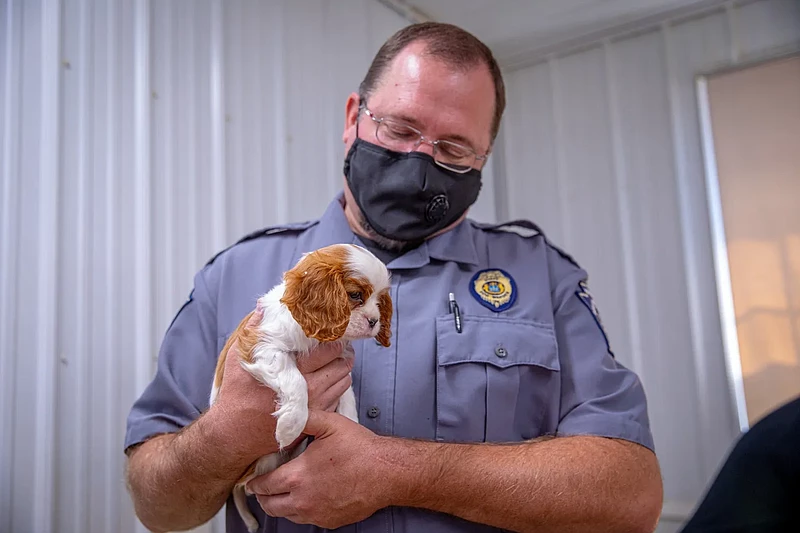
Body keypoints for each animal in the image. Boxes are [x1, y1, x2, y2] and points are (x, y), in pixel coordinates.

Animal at [208, 243, 392, 528]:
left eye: (379, 301)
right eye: (355, 295)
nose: (374, 321)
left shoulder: (340, 361)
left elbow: (347, 394)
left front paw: (351, 426)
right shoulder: (261, 344)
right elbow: (295, 380)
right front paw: (290, 425)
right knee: (246, 486)